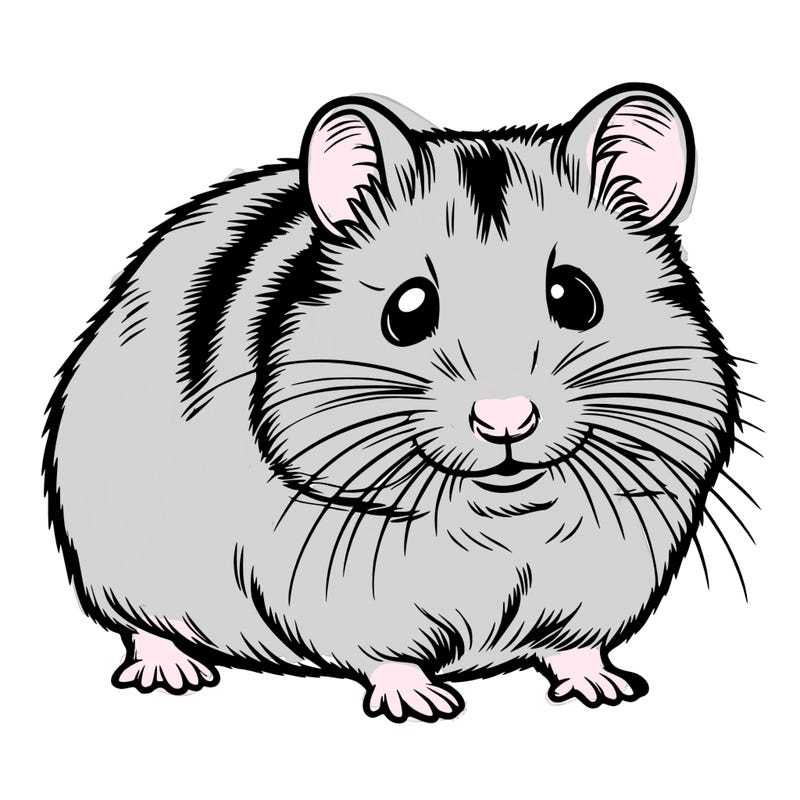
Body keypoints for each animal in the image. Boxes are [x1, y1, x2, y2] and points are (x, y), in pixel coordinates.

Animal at [43, 83, 739, 721]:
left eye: (576, 296)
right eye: (407, 310)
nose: (506, 420)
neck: (508, 511)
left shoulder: (611, 570)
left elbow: (577, 647)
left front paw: (607, 692)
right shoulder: (336, 584)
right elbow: (387, 657)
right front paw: (424, 705)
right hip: (116, 563)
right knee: (140, 627)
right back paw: (174, 676)